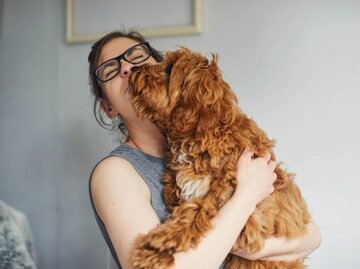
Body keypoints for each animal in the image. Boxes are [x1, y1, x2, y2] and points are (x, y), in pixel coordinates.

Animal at [128, 47, 310, 266]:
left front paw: (156, 244)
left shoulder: (247, 218)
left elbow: (197, 208)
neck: (204, 136)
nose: (133, 69)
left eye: (169, 69)